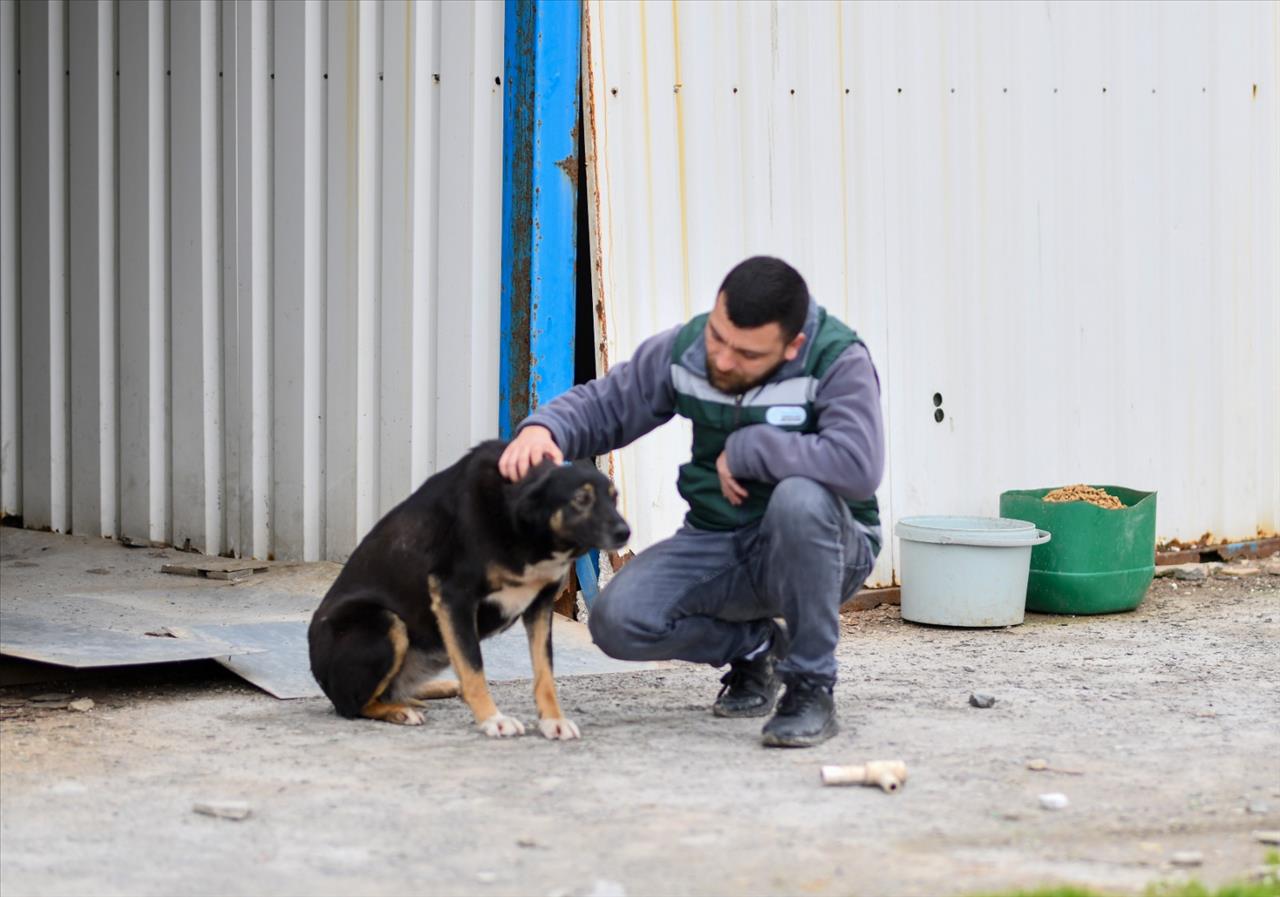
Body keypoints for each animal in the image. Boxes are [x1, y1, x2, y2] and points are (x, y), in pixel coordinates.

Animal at [309, 437, 629, 737]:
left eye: (614, 498)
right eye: (581, 499)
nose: (625, 532)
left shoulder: (540, 605)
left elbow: (544, 672)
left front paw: (553, 721)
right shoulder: (454, 597)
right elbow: (474, 669)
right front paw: (493, 719)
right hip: (385, 622)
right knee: (353, 705)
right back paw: (400, 710)